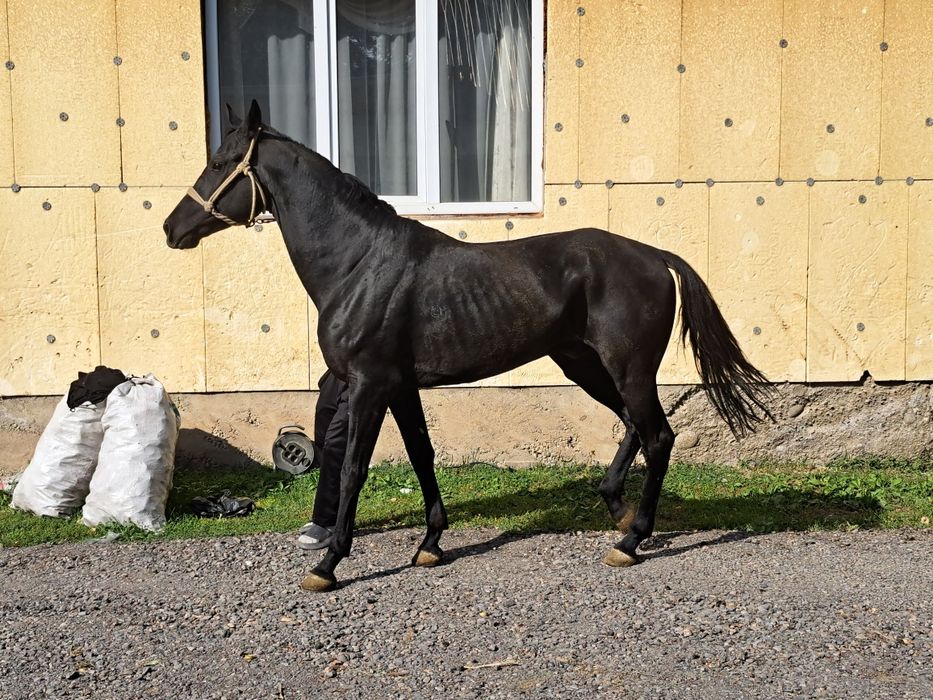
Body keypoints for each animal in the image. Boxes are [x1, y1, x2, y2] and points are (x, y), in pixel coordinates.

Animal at [164, 100, 772, 592]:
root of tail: (653, 256)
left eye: (220, 162)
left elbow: (355, 467)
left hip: (628, 368)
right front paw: (431, 544)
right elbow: (421, 455)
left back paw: (630, 540)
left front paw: (329, 564)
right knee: (634, 427)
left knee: (659, 436)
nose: (172, 228)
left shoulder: (368, 386)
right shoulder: (400, 387)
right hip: (584, 364)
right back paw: (617, 510)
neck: (359, 264)